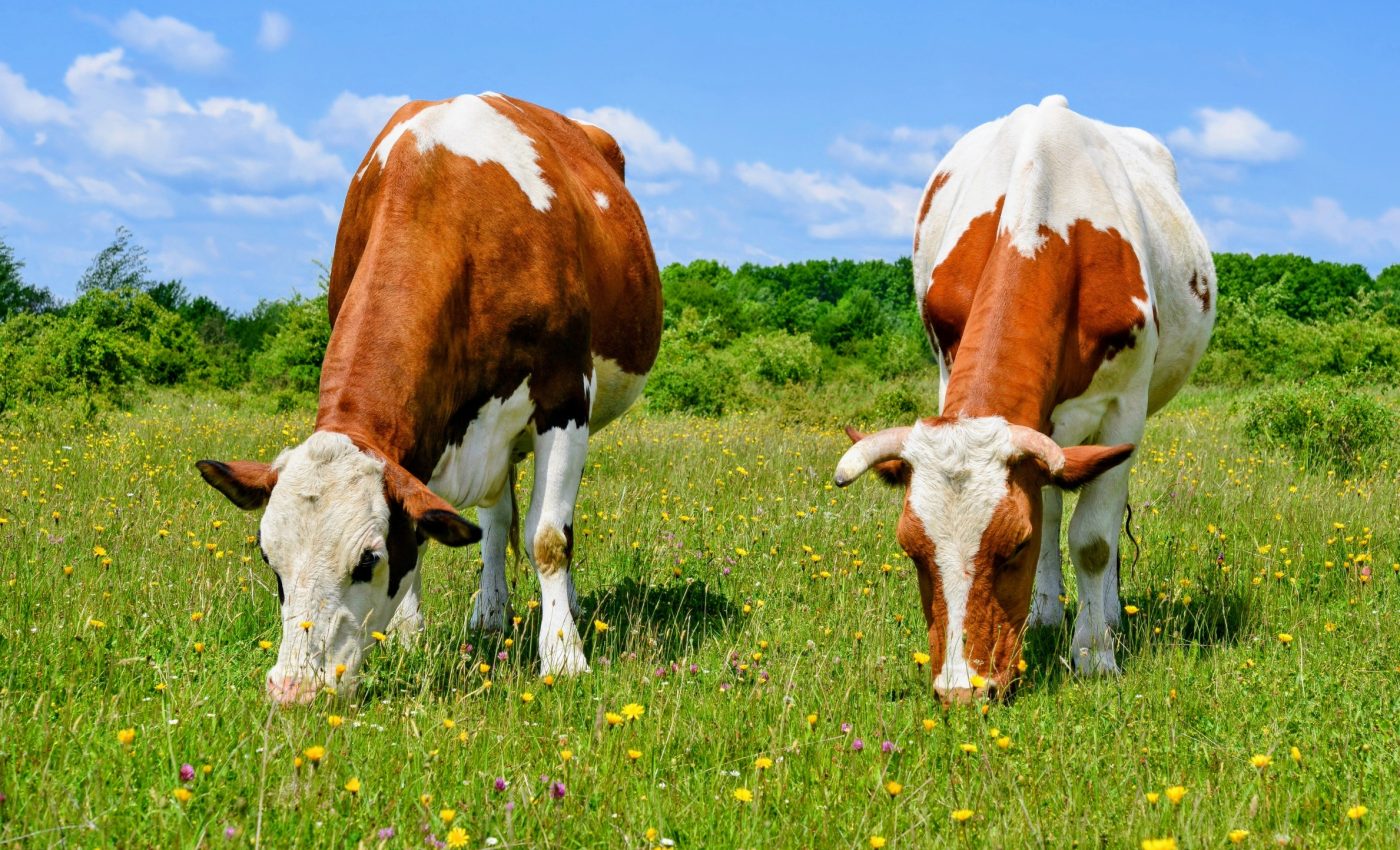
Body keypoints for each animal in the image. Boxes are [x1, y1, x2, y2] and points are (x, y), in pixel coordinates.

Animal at [196, 92, 662, 704]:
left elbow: (548, 539)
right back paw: (489, 615)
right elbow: (431, 525)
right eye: (269, 558)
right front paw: (408, 635)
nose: (293, 689)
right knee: (495, 520)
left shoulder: (564, 400)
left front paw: (564, 657)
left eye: (368, 559)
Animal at [835, 95, 1215, 703]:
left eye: (1014, 547)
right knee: (1056, 499)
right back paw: (1046, 614)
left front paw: (1095, 655)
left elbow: (1094, 539)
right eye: (911, 551)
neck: (1043, 227)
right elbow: (1055, 514)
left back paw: (1106, 615)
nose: (963, 689)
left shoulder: (1125, 407)